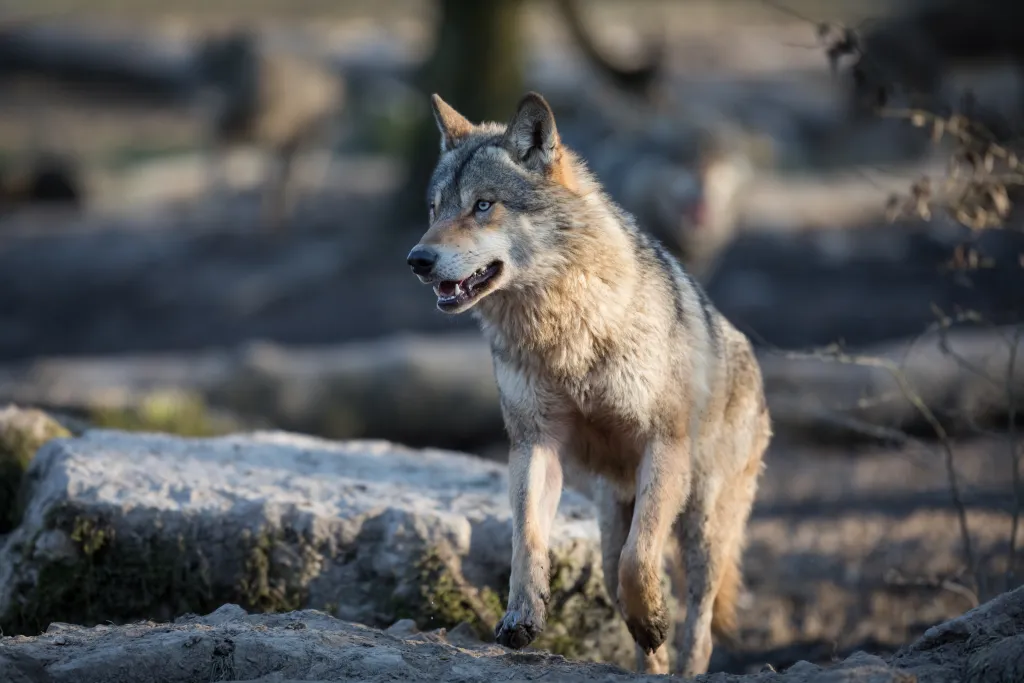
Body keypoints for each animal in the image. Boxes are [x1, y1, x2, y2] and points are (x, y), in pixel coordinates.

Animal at [405, 91, 771, 676]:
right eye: (435, 209)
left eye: (483, 205)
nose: (417, 260)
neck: (566, 332)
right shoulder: (535, 444)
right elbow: (527, 540)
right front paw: (522, 617)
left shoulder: (663, 445)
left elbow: (640, 560)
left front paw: (651, 617)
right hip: (608, 523)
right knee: (626, 588)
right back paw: (650, 665)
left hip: (704, 524)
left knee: (697, 621)